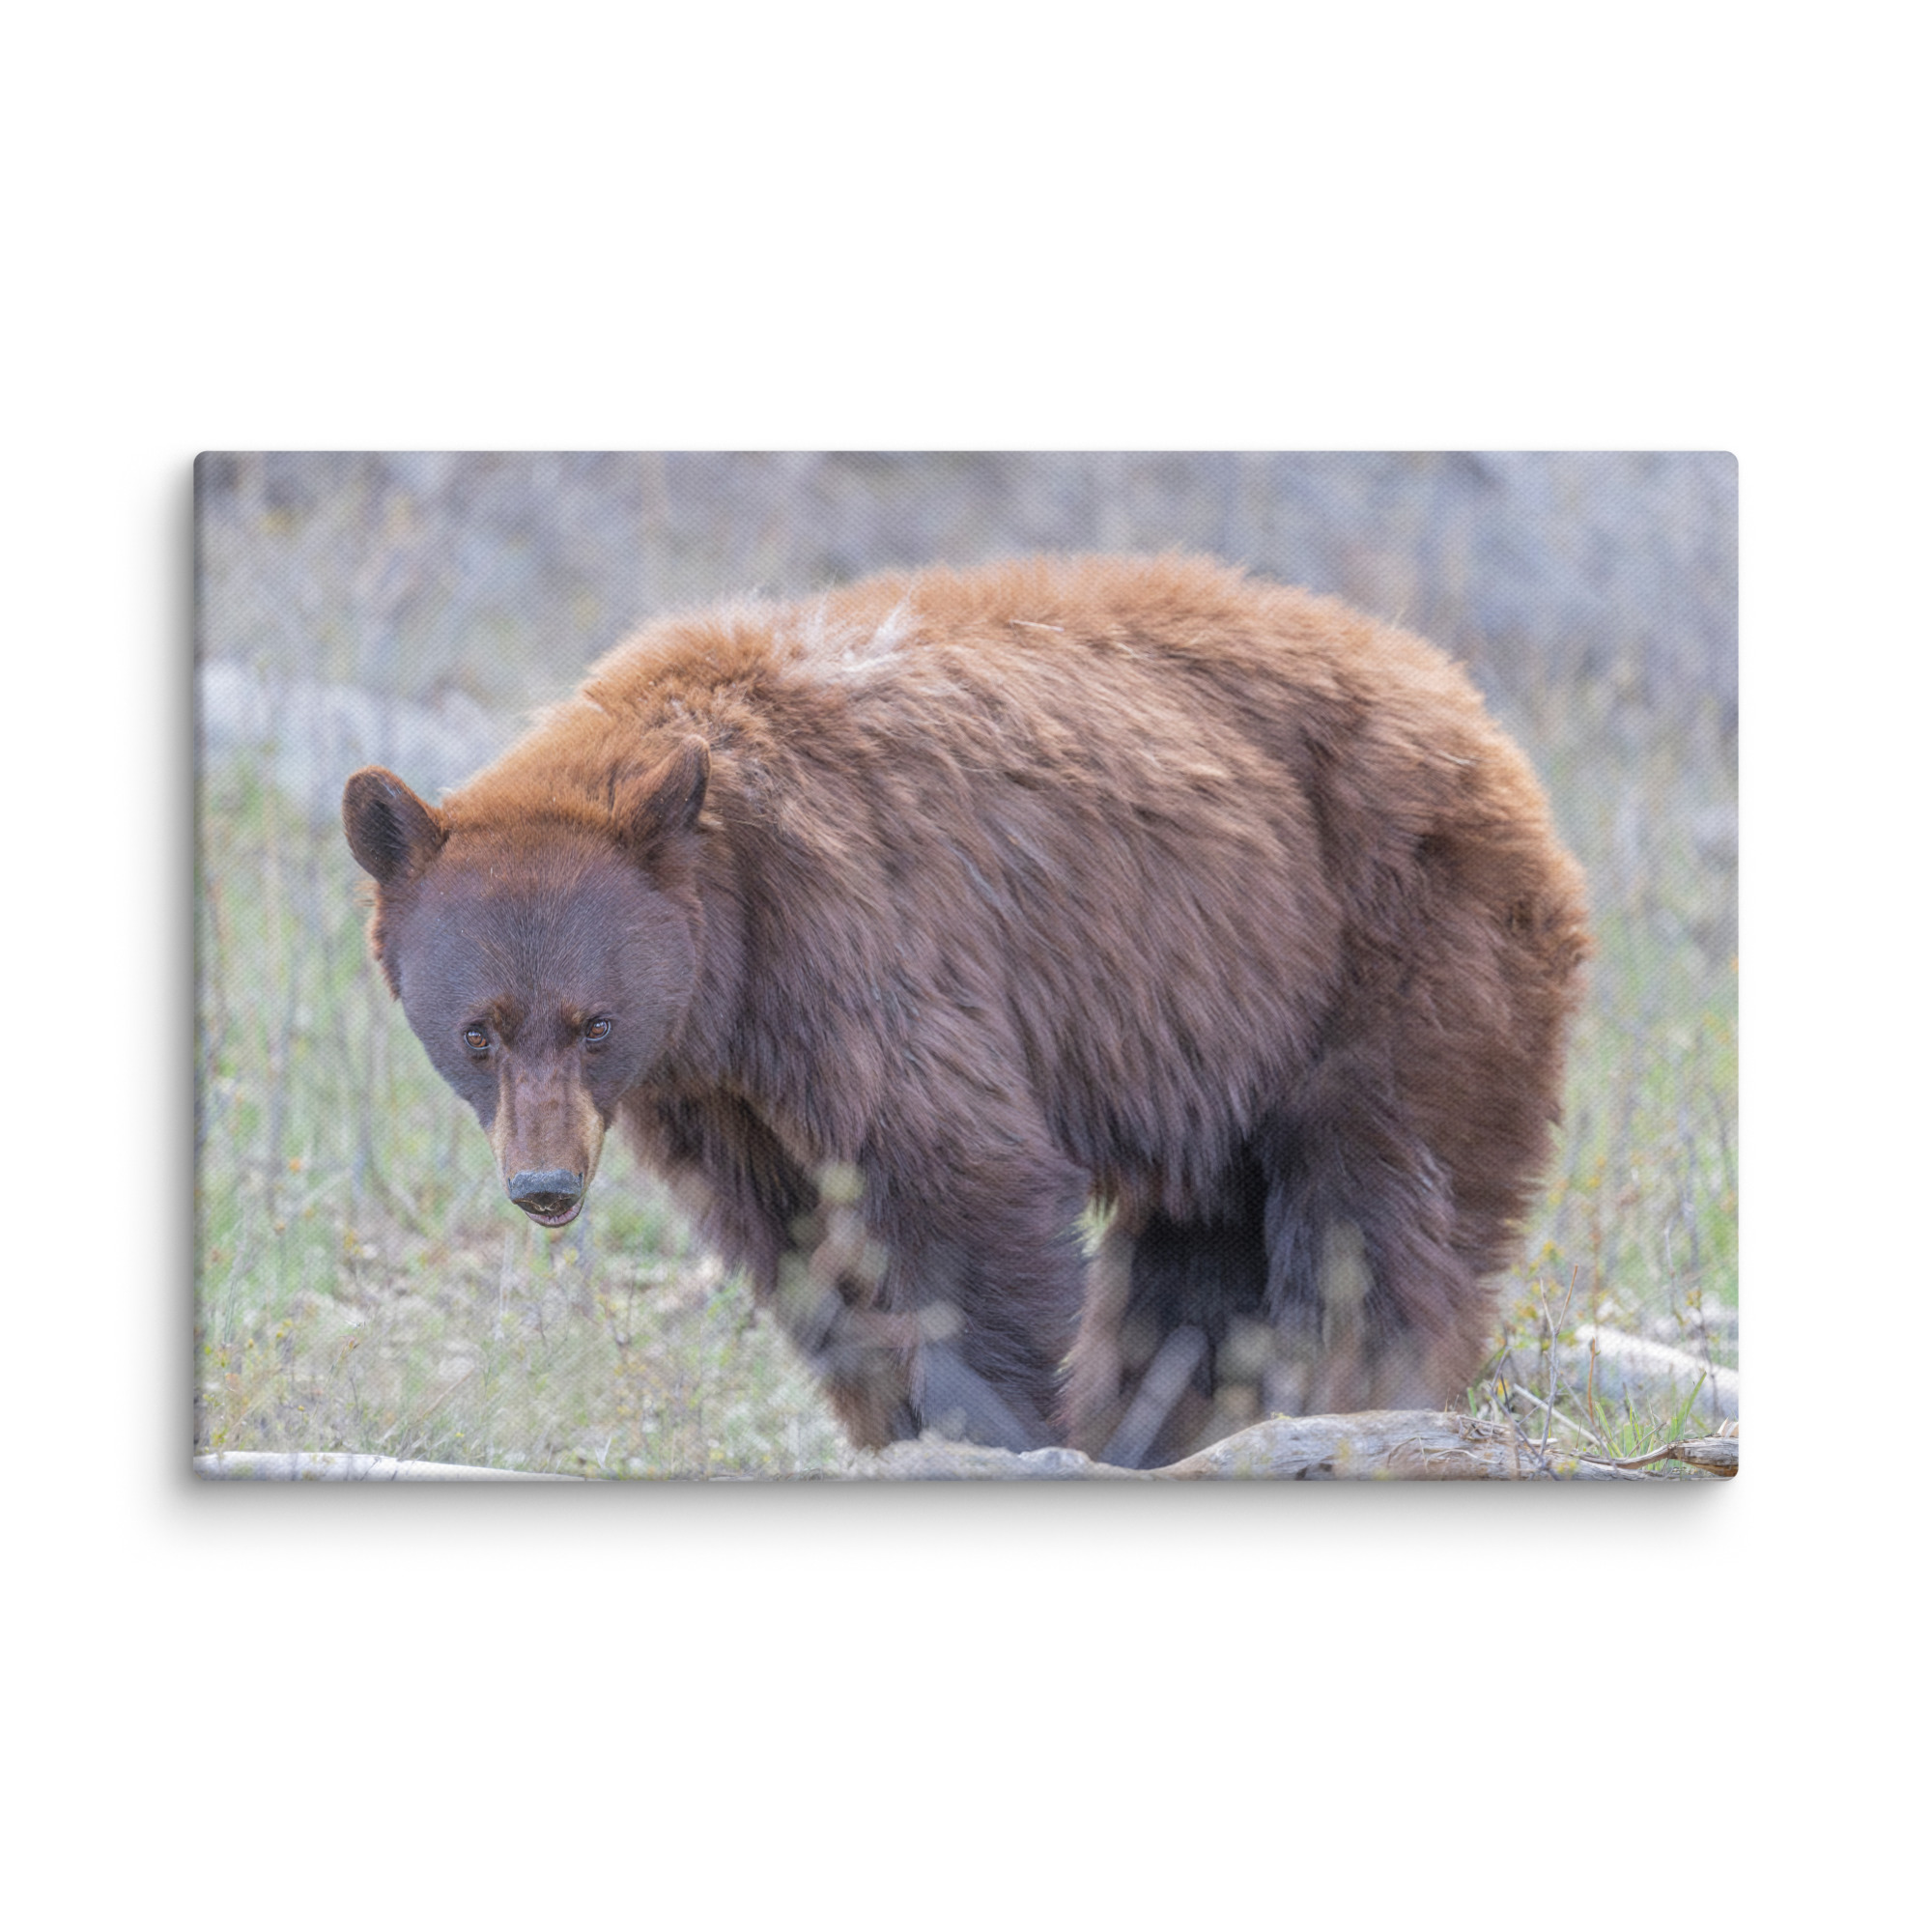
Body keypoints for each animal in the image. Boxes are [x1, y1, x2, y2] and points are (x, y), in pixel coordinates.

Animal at [341, 555, 1589, 1466]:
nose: (544, 1185)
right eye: (478, 1031)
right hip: (1224, 1028)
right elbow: (797, 1238)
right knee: (1199, 1246)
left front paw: (993, 1424)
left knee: (1375, 1205)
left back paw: (1347, 1397)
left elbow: (957, 1178)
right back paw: (1174, 1418)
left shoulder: (859, 940)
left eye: (592, 1022)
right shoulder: (717, 1087)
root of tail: (1470, 706)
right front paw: (895, 1417)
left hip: (1390, 947)